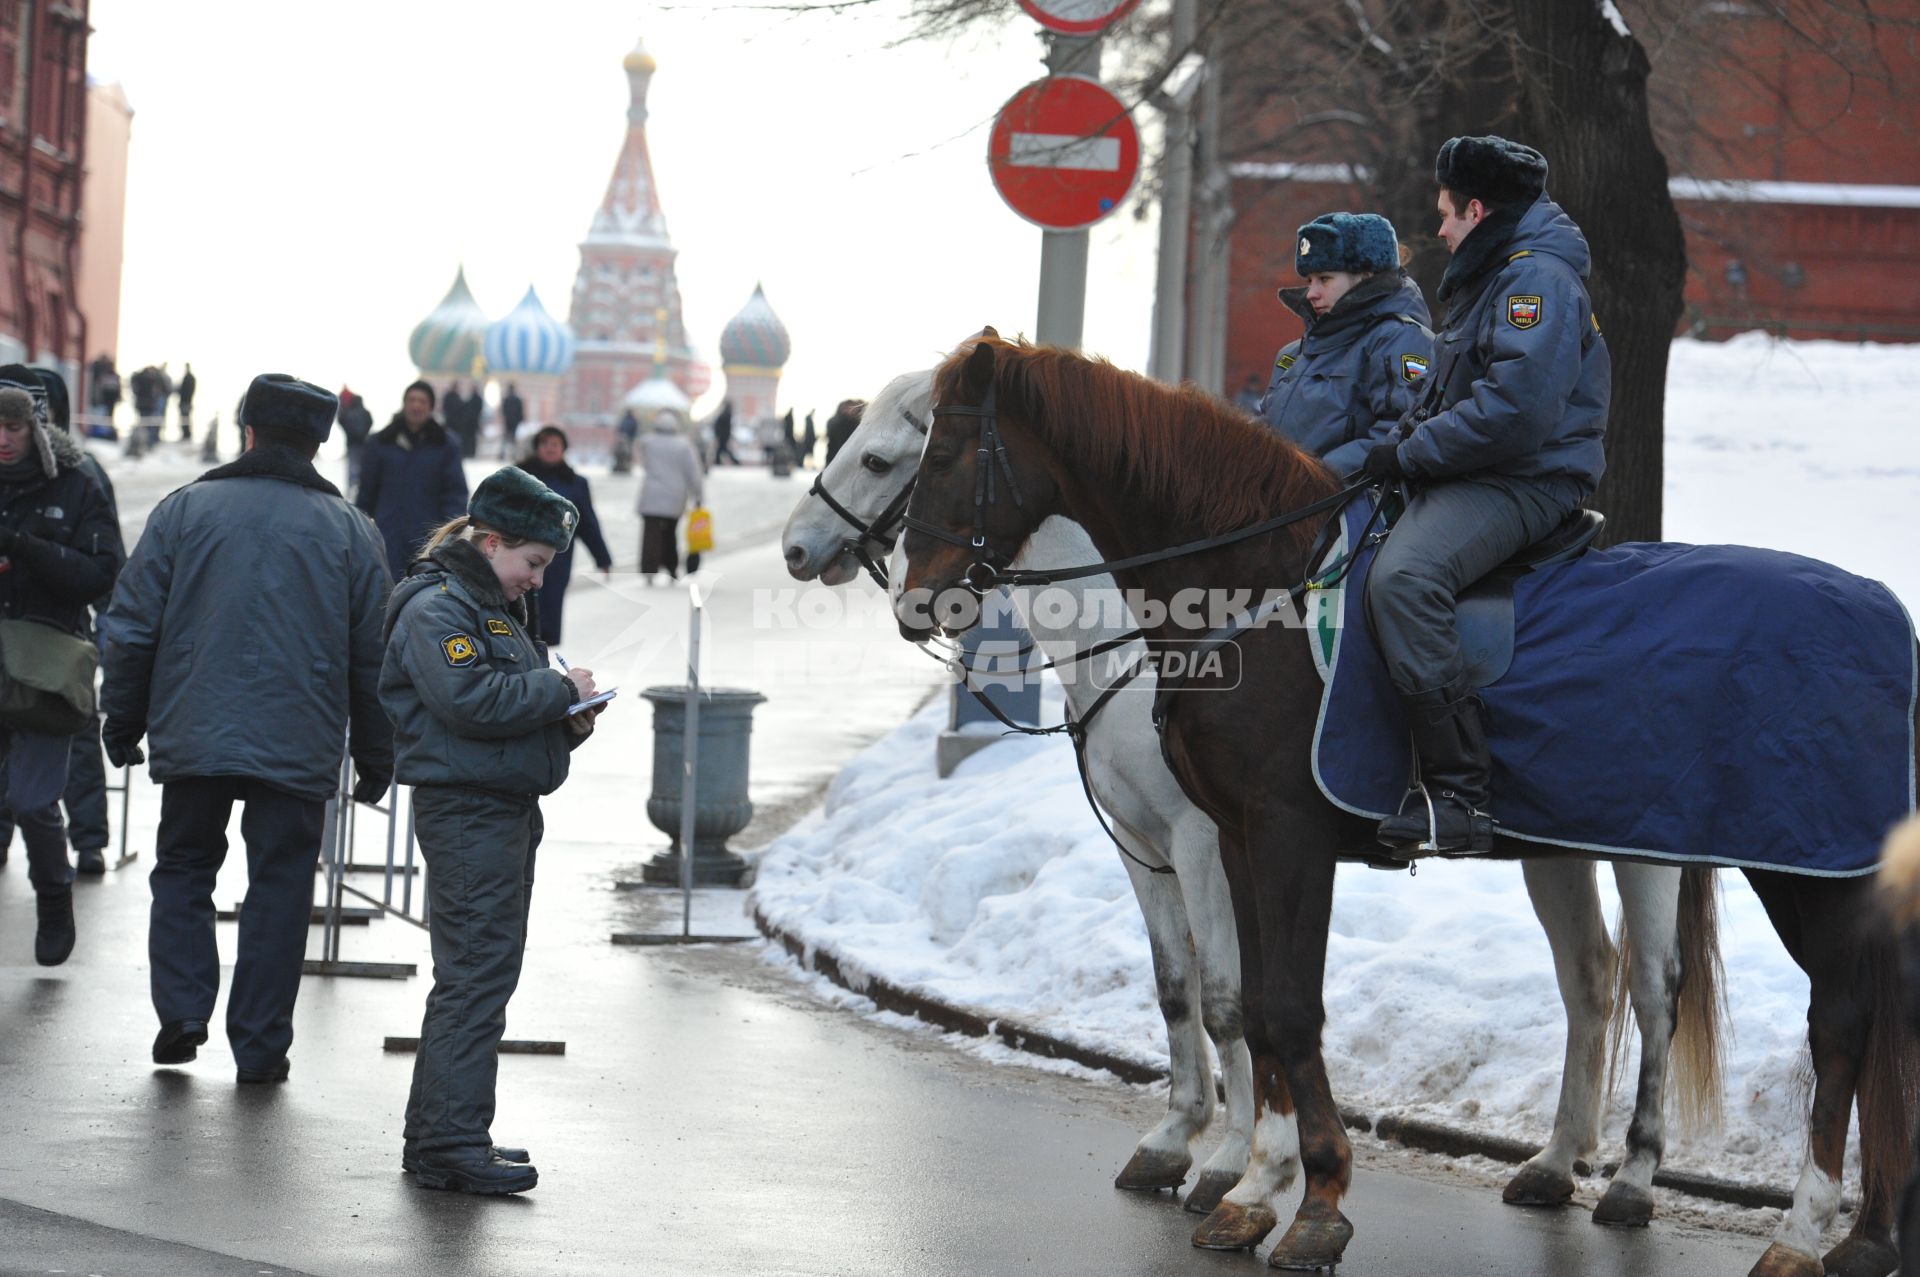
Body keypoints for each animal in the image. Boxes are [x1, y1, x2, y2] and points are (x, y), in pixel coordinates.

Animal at [779, 366, 1728, 1236]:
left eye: (887, 458)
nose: (794, 549)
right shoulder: (1144, 846)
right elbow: (1180, 989)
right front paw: (1181, 1140)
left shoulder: (1211, 841)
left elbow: (1232, 998)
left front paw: (1233, 1163)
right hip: (1555, 849)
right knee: (1589, 979)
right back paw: (1556, 1162)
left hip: (1648, 850)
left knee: (1652, 988)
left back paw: (1632, 1179)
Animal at [898, 336, 1920, 1275]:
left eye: (939, 453)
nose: (916, 602)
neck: (1255, 589)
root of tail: (1886, 618)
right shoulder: (1233, 839)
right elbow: (1258, 1008)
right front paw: (1258, 1189)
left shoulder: (1281, 836)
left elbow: (1286, 1010)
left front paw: (1313, 1201)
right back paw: (1861, 1233)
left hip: (1799, 866)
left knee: (1832, 1023)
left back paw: (1793, 1230)